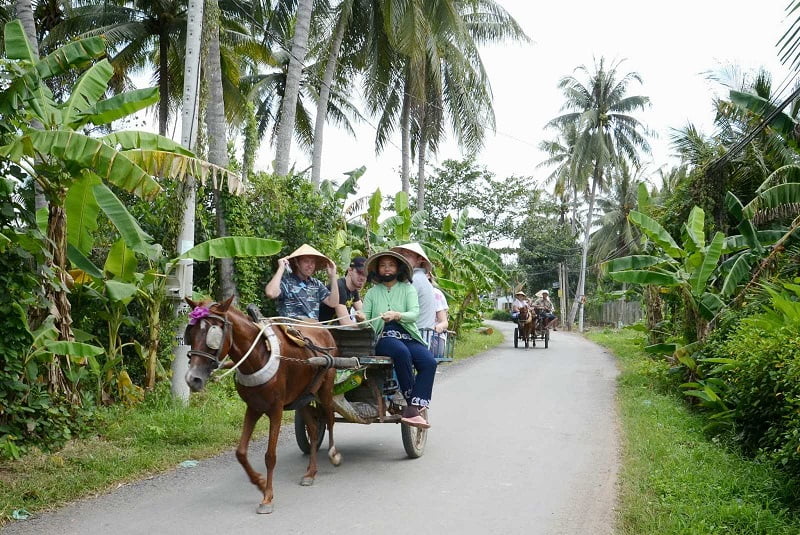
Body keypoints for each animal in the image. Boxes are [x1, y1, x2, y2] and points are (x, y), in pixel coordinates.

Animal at [181, 298, 340, 516]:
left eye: (213, 334)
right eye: (191, 332)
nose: (193, 379)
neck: (257, 356)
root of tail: (324, 329)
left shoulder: (276, 410)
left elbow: (270, 456)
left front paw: (267, 498)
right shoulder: (253, 408)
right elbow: (240, 452)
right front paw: (260, 483)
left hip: (325, 388)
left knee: (330, 419)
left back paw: (333, 454)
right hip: (303, 397)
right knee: (314, 430)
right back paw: (310, 472)